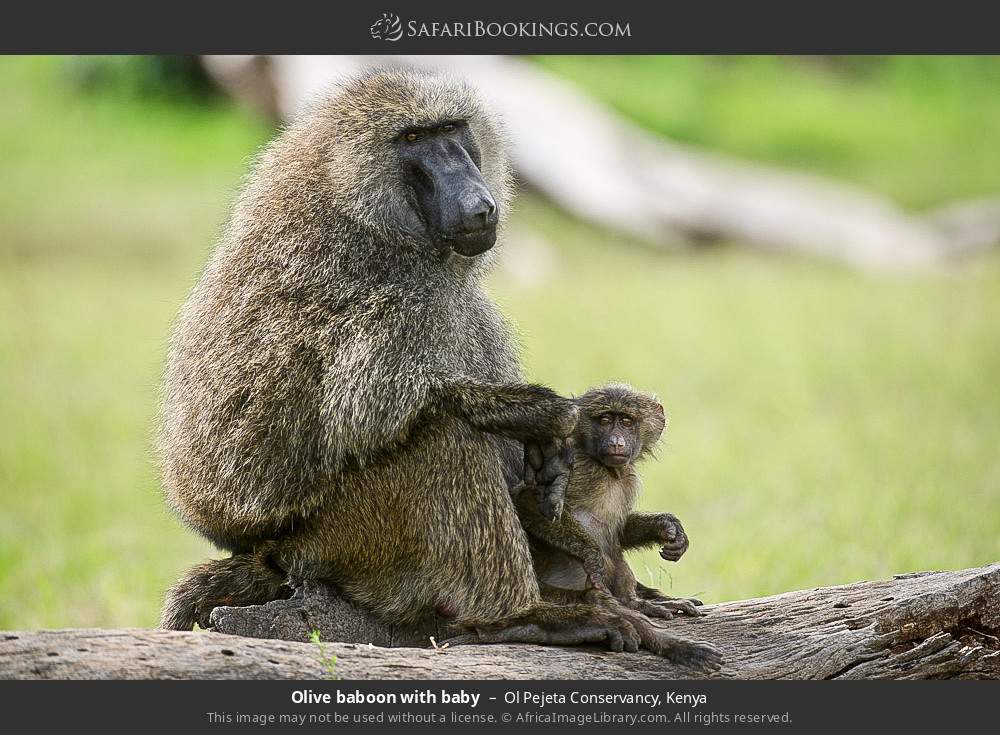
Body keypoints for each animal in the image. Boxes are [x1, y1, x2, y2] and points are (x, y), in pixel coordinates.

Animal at [515, 384, 705, 621]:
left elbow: (620, 531)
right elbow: (527, 499)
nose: (616, 442)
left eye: (626, 421)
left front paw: (667, 527)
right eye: (605, 420)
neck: (608, 471)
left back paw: (636, 602)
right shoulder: (578, 467)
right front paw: (592, 556)